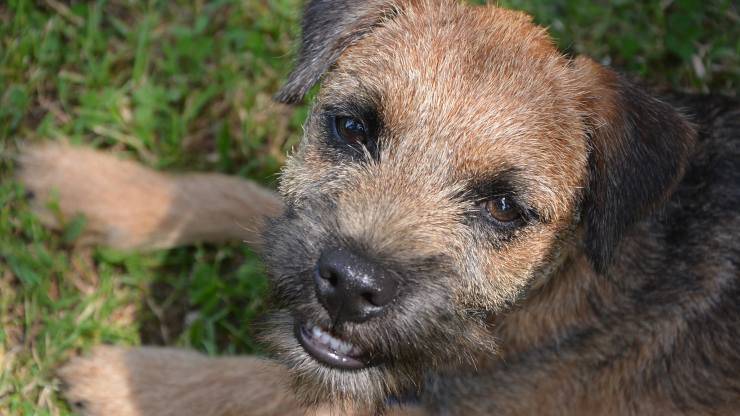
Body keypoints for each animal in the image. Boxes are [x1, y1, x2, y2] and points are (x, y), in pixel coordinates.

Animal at [17, 0, 740, 416]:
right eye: (353, 128)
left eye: (505, 208)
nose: (349, 285)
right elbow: (246, 194)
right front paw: (96, 185)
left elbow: (264, 386)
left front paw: (129, 376)